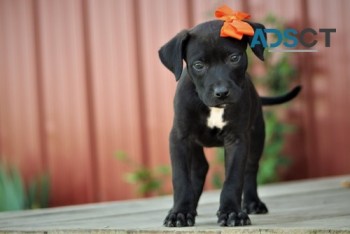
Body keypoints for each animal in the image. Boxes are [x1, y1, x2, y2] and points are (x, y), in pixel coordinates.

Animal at [159, 19, 300, 228]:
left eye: (234, 58)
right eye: (198, 65)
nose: (222, 92)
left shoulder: (237, 139)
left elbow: (233, 178)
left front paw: (231, 212)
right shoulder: (180, 138)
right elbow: (181, 178)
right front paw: (180, 212)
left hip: (257, 135)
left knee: (250, 169)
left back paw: (252, 202)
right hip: (194, 143)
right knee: (199, 169)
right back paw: (189, 206)